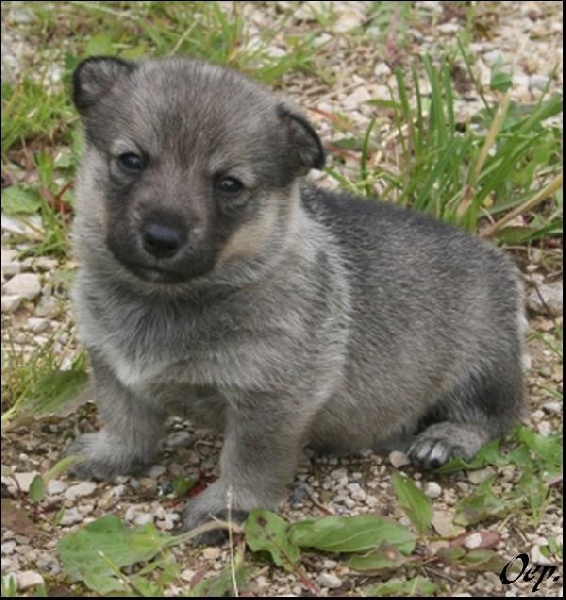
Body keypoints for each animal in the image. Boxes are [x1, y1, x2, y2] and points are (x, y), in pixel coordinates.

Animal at [70, 56, 528, 540]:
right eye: (131, 160)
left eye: (229, 184)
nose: (161, 237)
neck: (166, 299)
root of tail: (498, 264)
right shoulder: (113, 368)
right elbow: (126, 424)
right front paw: (110, 454)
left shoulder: (270, 401)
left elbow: (247, 462)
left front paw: (227, 507)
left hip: (483, 367)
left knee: (497, 414)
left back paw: (446, 438)